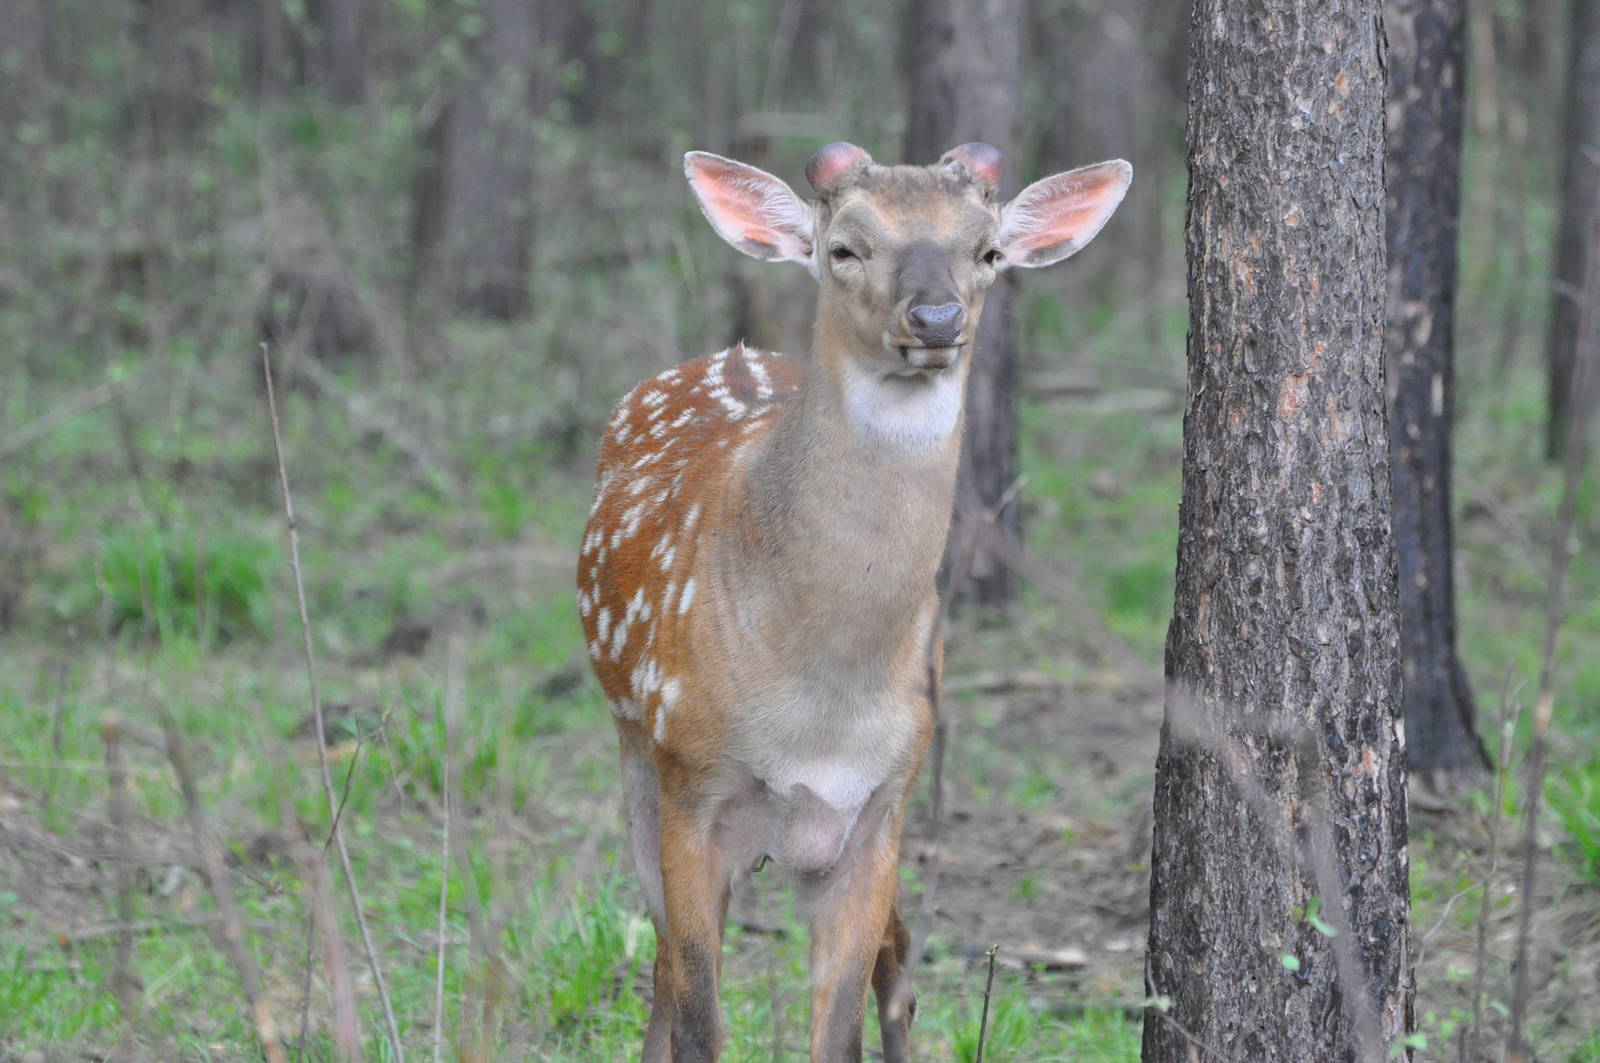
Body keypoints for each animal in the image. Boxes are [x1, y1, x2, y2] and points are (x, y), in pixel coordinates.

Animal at [577, 140, 1130, 1062]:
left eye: (988, 251)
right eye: (845, 248)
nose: (937, 318)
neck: (820, 703)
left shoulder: (880, 800)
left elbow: (839, 1028)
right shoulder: (692, 777)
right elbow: (701, 1016)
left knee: (897, 961)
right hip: (636, 755)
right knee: (662, 961)